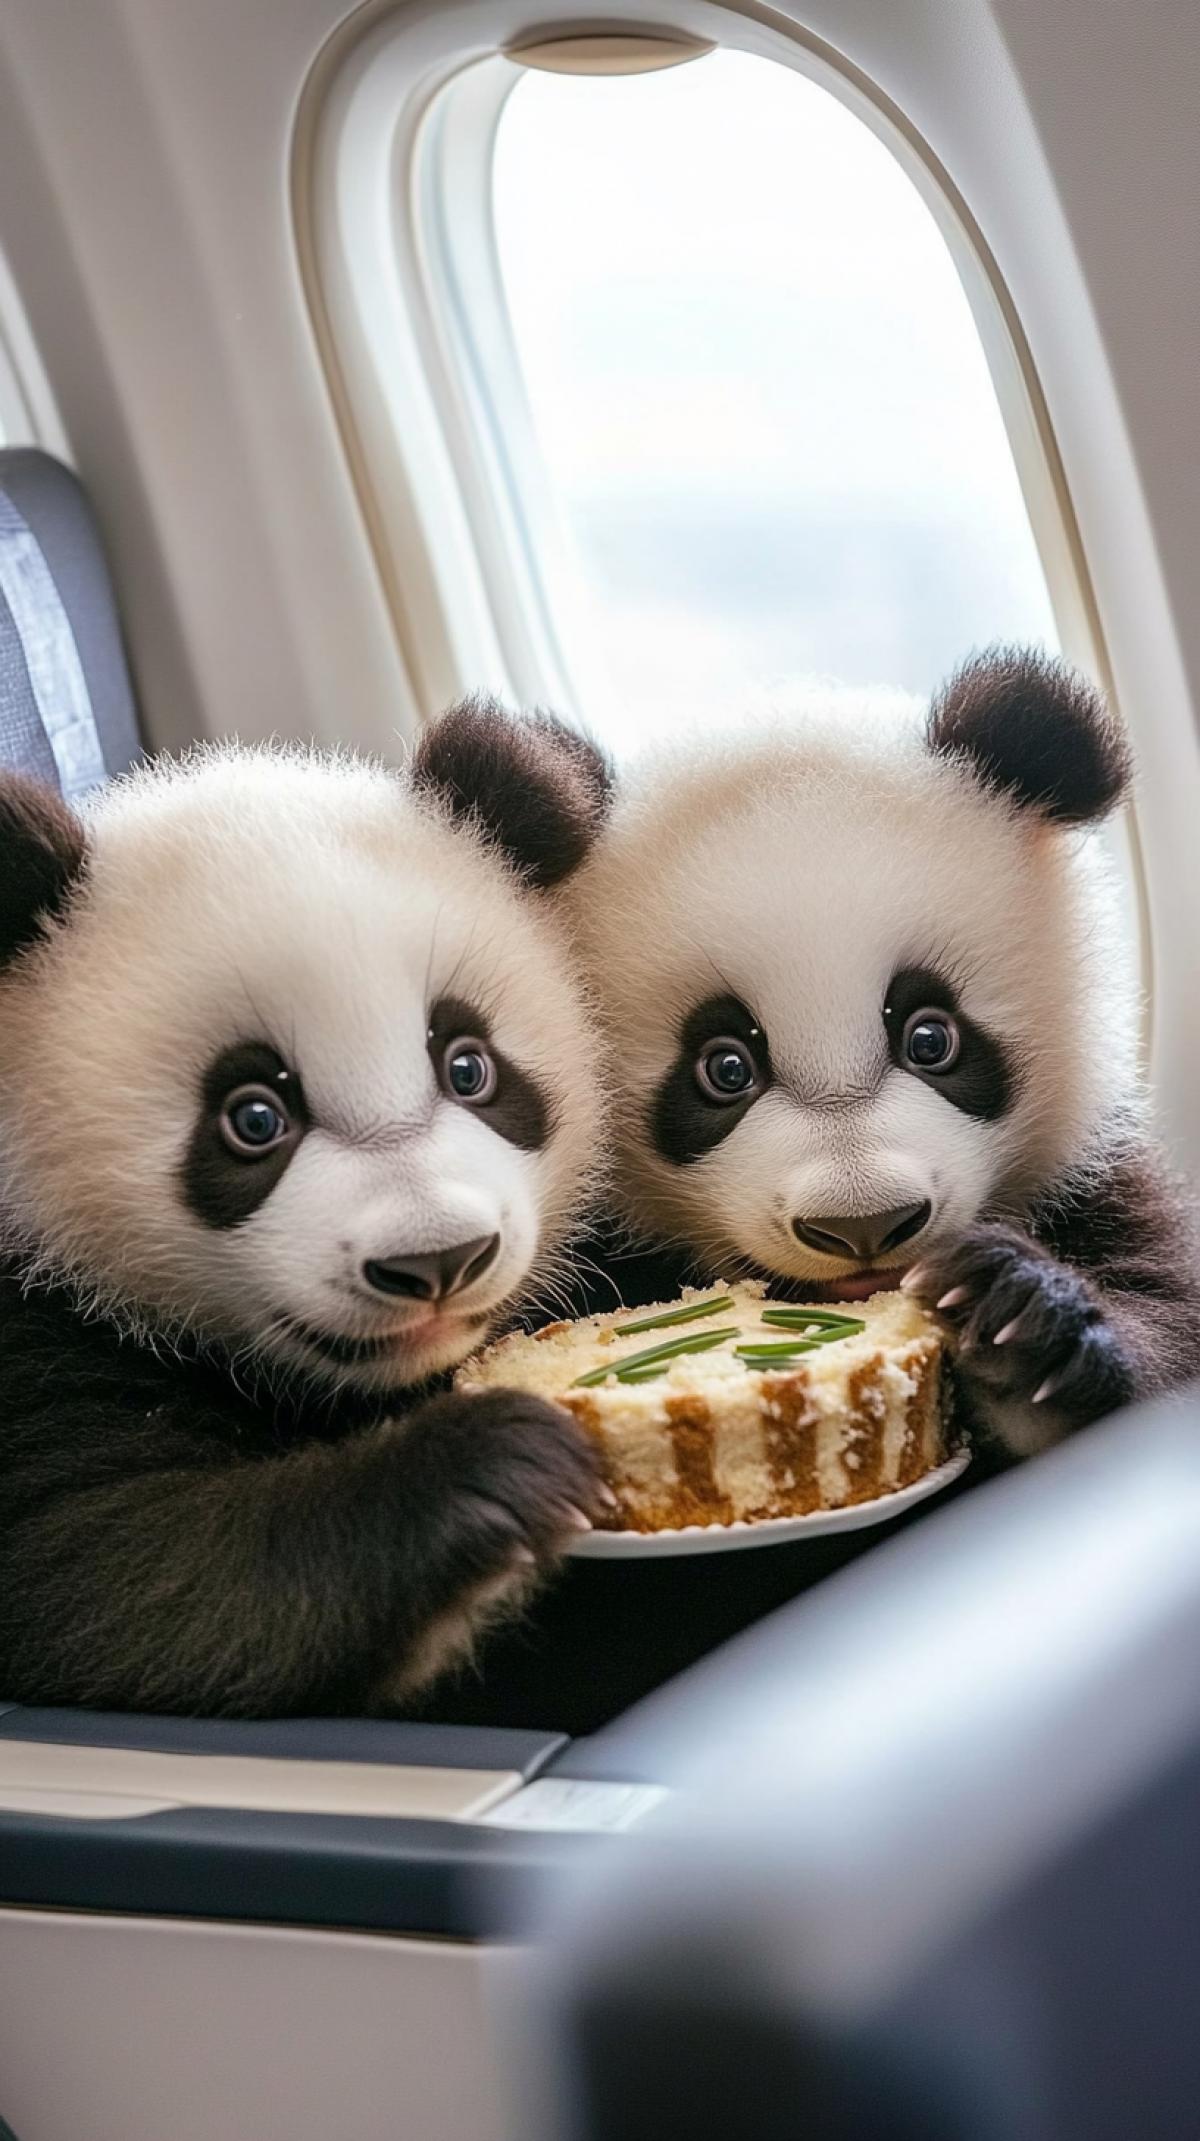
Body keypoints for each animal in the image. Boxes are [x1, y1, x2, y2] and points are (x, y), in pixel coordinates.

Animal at [0, 703, 613, 1717]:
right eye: (254, 1119)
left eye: (470, 1066)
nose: (439, 1261)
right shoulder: (29, 1337)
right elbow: (117, 1576)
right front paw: (488, 1466)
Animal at [562, 649, 1200, 1459]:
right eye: (725, 1069)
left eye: (931, 1038)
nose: (864, 1224)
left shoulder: (1098, 1171)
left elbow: (1172, 1319)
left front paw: (1020, 1321)